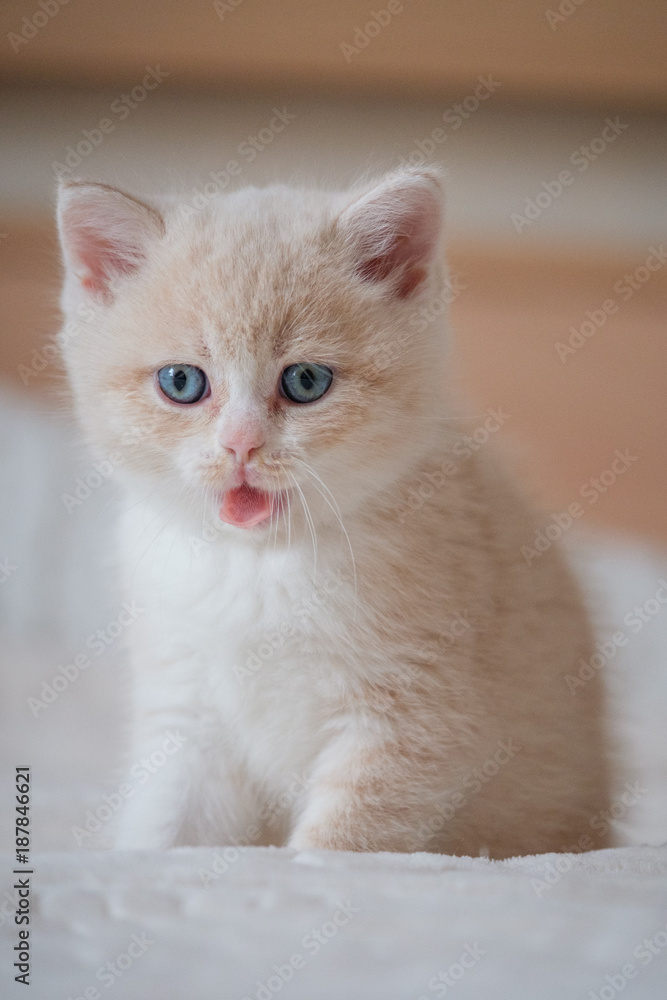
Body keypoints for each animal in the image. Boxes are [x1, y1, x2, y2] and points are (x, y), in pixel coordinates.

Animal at [56, 168, 612, 856]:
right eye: (182, 382)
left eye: (306, 382)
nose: (240, 444)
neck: (259, 566)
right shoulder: (185, 708)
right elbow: (166, 823)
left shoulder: (414, 716)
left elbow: (342, 845)